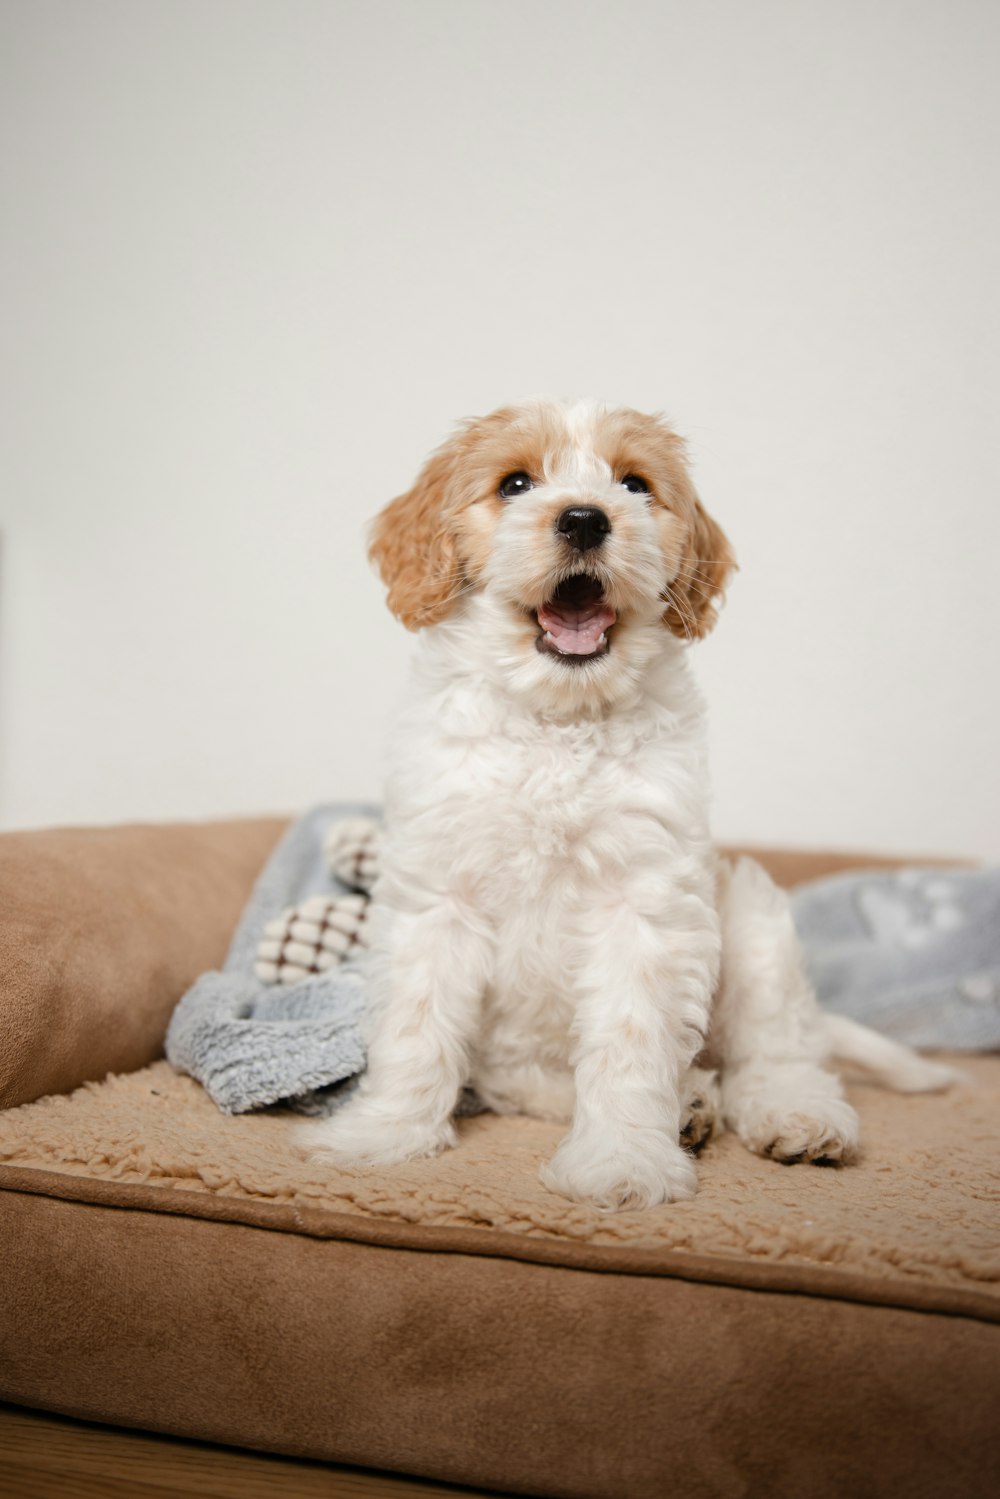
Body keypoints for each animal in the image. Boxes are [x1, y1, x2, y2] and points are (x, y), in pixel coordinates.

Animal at [299, 404, 953, 1211]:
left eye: (635, 484)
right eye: (514, 483)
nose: (584, 517)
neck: (558, 724)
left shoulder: (643, 904)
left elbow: (631, 1043)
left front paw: (622, 1165)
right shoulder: (438, 897)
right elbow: (415, 1028)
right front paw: (382, 1136)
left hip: (754, 920)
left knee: (779, 1052)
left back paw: (796, 1118)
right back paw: (692, 1106)